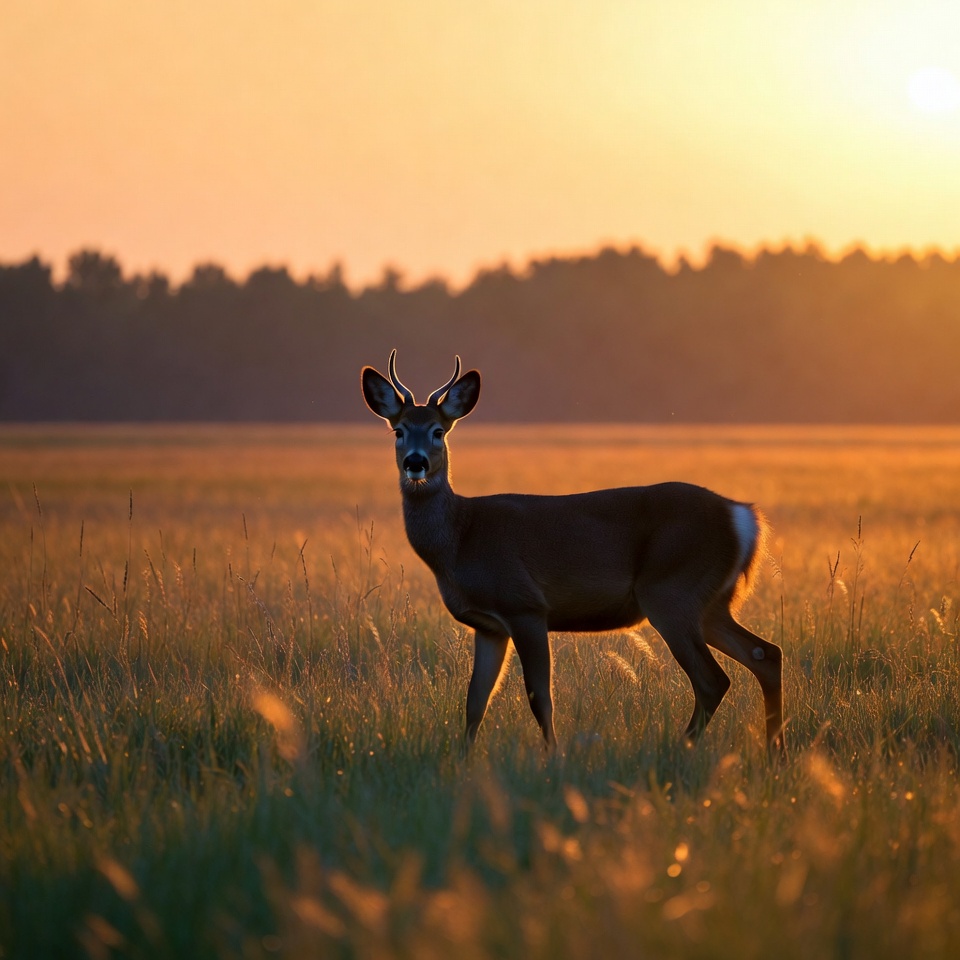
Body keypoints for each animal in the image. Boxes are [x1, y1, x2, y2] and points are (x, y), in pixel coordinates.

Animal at [361, 351, 784, 756]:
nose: (416, 462)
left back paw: (686, 747)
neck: (461, 538)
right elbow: (475, 702)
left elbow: (539, 697)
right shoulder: (489, 625)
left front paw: (553, 756)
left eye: (438, 430)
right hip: (711, 602)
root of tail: (742, 516)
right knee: (766, 653)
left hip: (672, 591)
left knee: (714, 679)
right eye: (398, 430)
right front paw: (463, 761)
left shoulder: (525, 606)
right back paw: (773, 752)